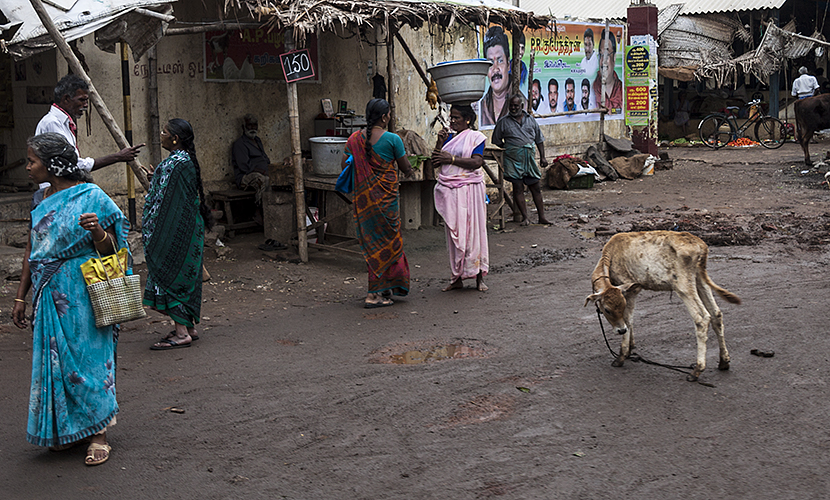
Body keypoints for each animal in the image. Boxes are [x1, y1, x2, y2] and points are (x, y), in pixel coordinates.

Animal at [584, 231, 740, 382]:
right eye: (607, 309)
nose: (620, 330)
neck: (610, 256)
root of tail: (700, 244)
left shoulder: (631, 289)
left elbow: (628, 319)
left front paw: (622, 356)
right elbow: (631, 321)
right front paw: (630, 348)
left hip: (683, 286)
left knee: (702, 319)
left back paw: (696, 370)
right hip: (700, 280)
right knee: (716, 314)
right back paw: (724, 362)